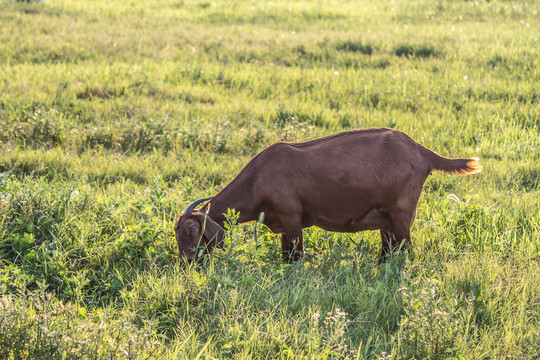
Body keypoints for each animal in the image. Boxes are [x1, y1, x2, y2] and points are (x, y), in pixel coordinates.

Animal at [176, 128, 480, 262]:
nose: (190, 263)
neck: (257, 180)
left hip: (402, 212)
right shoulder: (283, 223)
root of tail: (422, 151)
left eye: (192, 229)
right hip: (387, 218)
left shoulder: (291, 217)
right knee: (389, 247)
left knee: (405, 248)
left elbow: (295, 256)